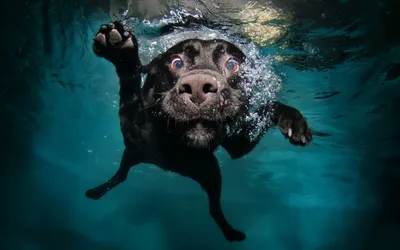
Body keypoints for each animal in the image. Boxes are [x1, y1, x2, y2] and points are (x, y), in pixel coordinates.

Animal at [86, 21, 312, 242]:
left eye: (232, 64)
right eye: (176, 63)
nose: (197, 87)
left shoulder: (238, 144)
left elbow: (268, 107)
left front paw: (293, 119)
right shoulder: (133, 129)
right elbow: (130, 90)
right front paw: (121, 52)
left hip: (211, 173)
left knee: (214, 208)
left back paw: (230, 232)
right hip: (133, 155)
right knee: (121, 176)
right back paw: (97, 191)